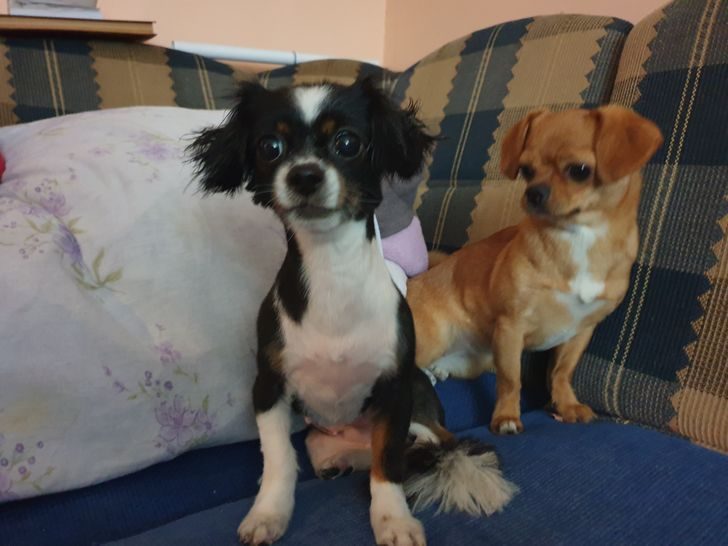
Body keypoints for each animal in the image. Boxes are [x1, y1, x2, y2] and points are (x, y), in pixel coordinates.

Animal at [189, 78, 516, 546]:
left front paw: (393, 520)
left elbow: (389, 464)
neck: (333, 272)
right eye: (270, 147)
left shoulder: (394, 391)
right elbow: (279, 460)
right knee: (343, 450)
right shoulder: (269, 387)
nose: (304, 174)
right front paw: (269, 513)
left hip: (418, 406)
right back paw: (339, 461)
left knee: (433, 444)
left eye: (348, 143)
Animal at [407, 106, 663, 435]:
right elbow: (510, 379)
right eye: (526, 171)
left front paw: (566, 405)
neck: (580, 238)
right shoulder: (510, 326)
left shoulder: (581, 331)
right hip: (432, 339)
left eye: (579, 171)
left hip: (469, 361)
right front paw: (506, 416)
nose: (533, 193)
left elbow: (562, 371)